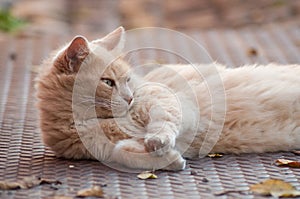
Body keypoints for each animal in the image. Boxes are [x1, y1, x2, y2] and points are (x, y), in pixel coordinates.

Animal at [35, 26, 300, 171]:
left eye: (127, 80)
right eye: (108, 83)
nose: (130, 99)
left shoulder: (178, 105)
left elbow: (162, 121)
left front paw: (159, 142)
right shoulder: (102, 151)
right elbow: (122, 152)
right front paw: (169, 159)